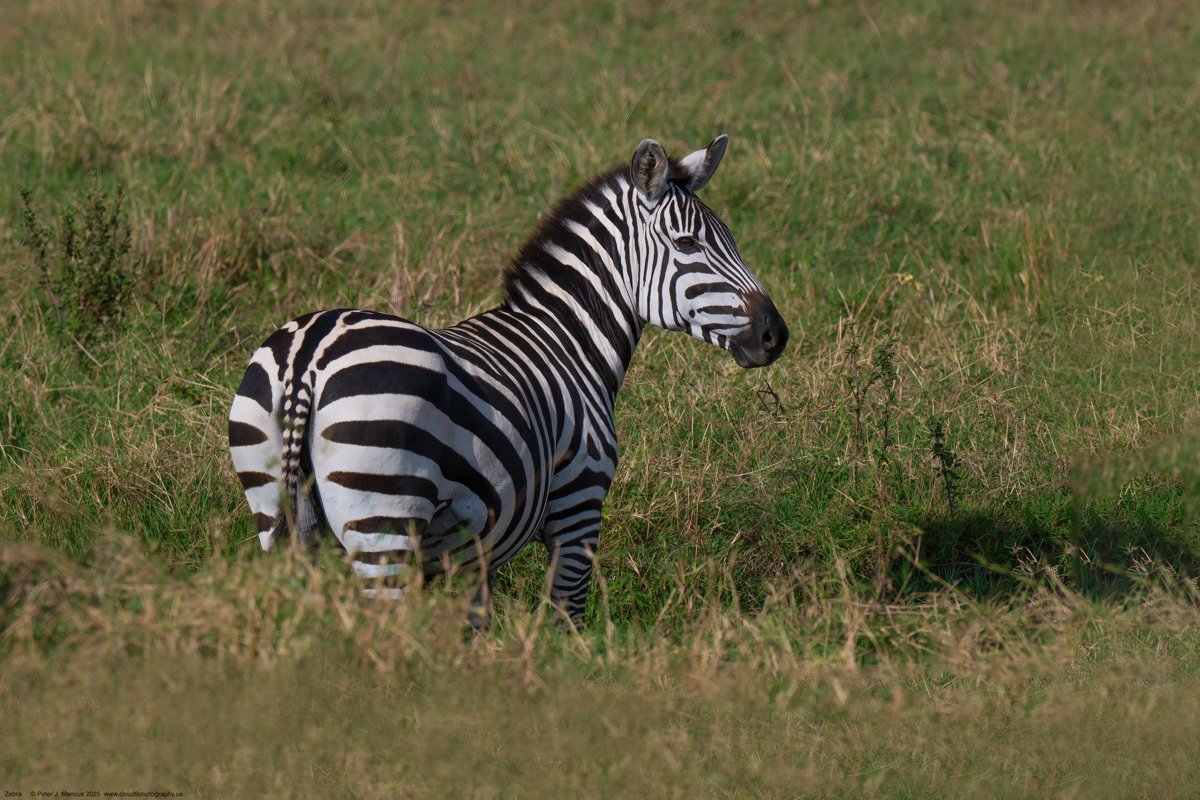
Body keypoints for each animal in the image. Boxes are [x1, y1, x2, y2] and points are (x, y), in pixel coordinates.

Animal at [228, 135, 788, 626]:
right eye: (688, 243)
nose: (775, 335)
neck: (568, 340)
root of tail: (309, 355)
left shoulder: (475, 550)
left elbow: (474, 626)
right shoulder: (578, 508)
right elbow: (566, 618)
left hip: (276, 508)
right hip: (383, 523)